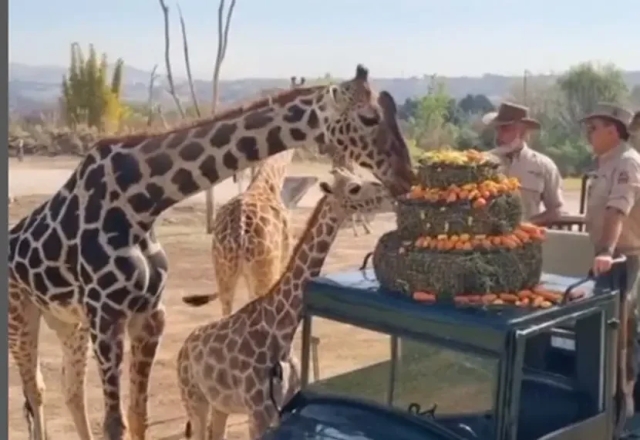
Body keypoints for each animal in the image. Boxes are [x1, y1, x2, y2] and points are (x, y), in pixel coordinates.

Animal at [178, 168, 392, 440]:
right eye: (354, 188)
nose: (389, 194)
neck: (281, 329)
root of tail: (183, 349)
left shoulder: (284, 405)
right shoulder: (257, 410)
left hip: (219, 404)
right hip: (194, 399)